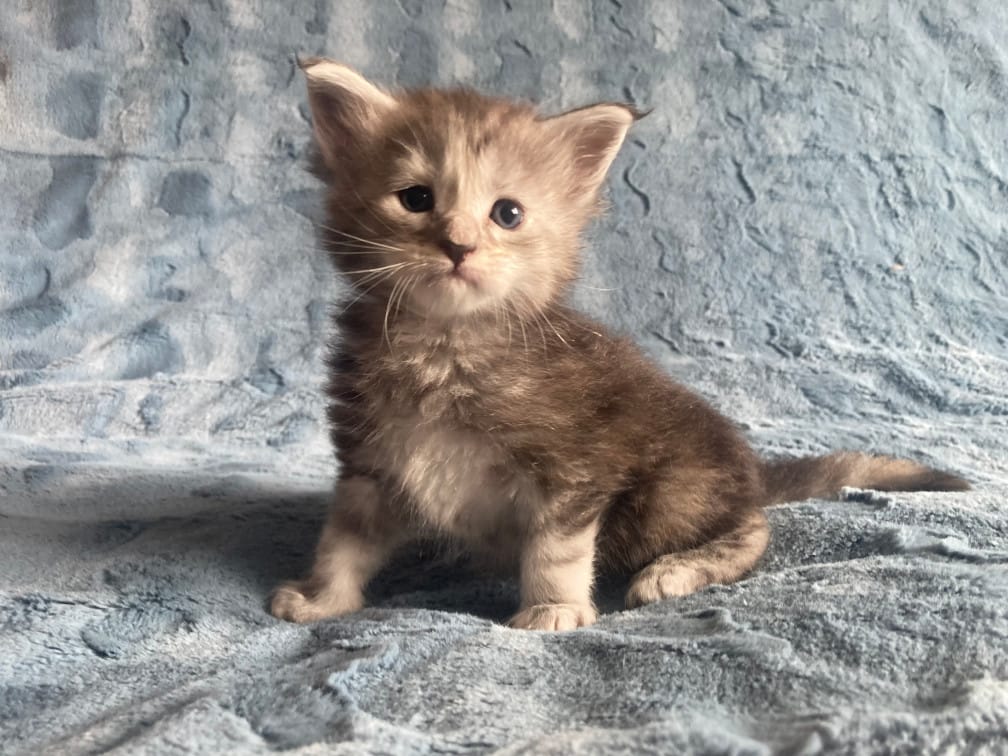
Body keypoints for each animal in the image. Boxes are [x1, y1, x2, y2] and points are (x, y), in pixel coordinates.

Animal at [269, 58, 969, 631]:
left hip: (668, 493)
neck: (444, 350)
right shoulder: (369, 462)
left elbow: (556, 549)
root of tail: (747, 471)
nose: (459, 246)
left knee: (753, 527)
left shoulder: (576, 466)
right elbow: (342, 541)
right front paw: (321, 598)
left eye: (507, 214)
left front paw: (552, 609)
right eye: (415, 199)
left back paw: (676, 570)